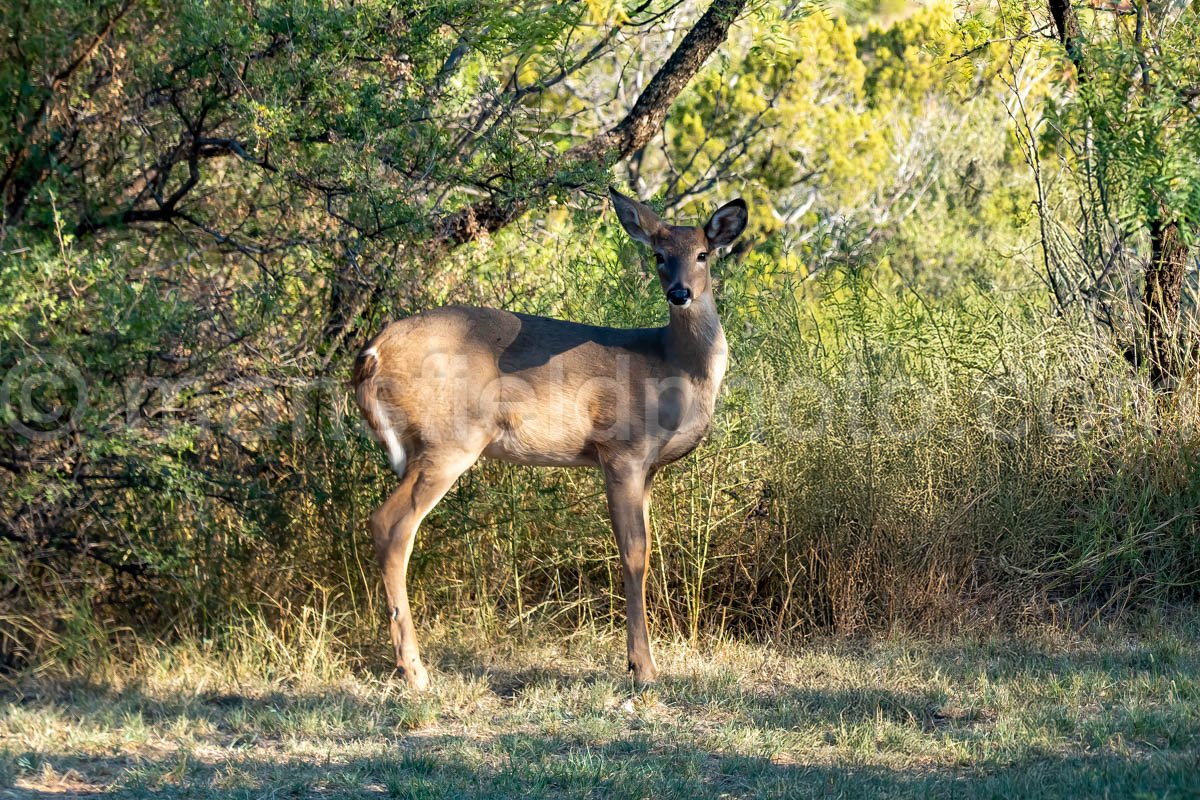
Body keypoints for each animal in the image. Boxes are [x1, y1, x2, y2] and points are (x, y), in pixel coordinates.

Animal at [350, 188, 744, 690]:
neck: (673, 365)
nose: (680, 293)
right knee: (390, 524)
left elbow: (647, 549)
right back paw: (414, 670)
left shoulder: (649, 467)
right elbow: (633, 553)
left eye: (702, 253)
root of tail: (372, 351)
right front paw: (643, 667)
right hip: (448, 439)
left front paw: (641, 662)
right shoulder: (622, 450)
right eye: (658, 255)